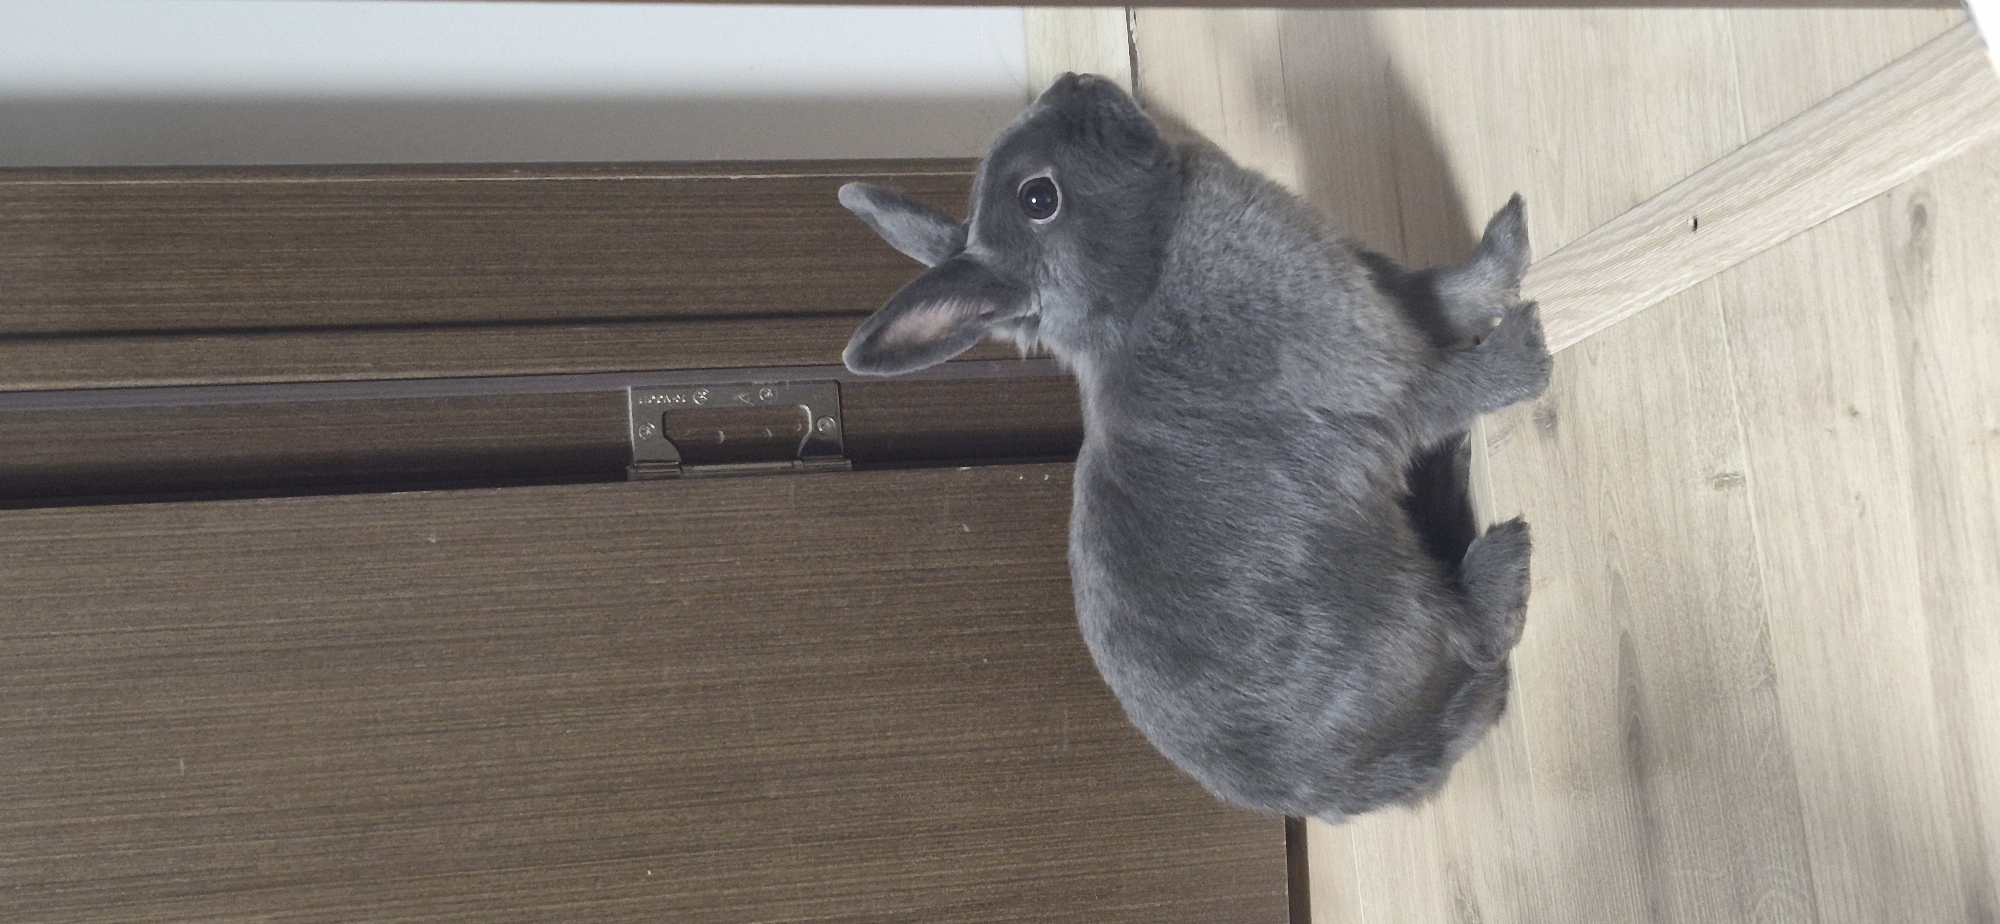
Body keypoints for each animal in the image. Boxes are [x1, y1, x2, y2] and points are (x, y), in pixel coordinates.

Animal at [837, 72, 1549, 822]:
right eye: (1039, 199)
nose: (1072, 81)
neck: (1145, 282)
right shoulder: (1378, 386)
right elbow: (1453, 385)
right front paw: (1524, 347)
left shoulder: (1392, 301)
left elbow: (1452, 291)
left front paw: (1508, 236)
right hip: (1402, 622)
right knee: (1479, 635)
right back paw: (1503, 552)